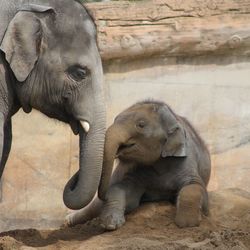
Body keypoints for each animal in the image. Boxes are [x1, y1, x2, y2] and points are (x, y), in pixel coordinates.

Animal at [67, 100, 211, 229]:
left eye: (141, 125)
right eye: (115, 119)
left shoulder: (187, 162)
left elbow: (195, 187)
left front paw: (187, 224)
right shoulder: (134, 171)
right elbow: (124, 193)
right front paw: (110, 224)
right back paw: (67, 221)